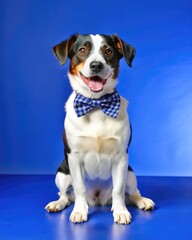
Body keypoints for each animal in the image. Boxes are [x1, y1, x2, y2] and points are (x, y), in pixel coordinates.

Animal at [45, 32, 155, 224]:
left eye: (108, 51)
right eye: (82, 50)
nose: (96, 65)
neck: (96, 104)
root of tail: (97, 199)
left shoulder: (120, 158)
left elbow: (118, 190)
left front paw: (121, 212)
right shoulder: (74, 157)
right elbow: (79, 188)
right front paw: (79, 211)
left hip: (130, 173)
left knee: (131, 193)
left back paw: (142, 201)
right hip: (62, 174)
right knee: (65, 195)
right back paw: (57, 204)